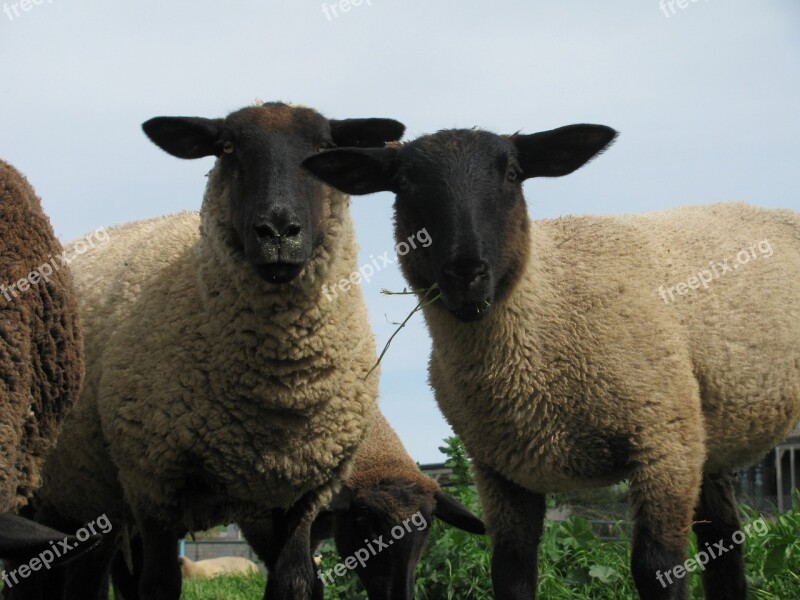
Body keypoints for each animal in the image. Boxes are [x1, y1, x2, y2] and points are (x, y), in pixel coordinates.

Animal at [18, 103, 404, 600]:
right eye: (227, 147)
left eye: (323, 148)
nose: (278, 231)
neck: (280, 389)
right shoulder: (153, 482)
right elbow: (159, 585)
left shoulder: (304, 494)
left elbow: (297, 581)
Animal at [304, 127, 800, 600]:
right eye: (403, 182)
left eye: (512, 174)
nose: (467, 273)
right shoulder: (500, 472)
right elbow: (510, 574)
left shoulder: (664, 443)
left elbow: (657, 568)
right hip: (708, 440)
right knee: (726, 543)